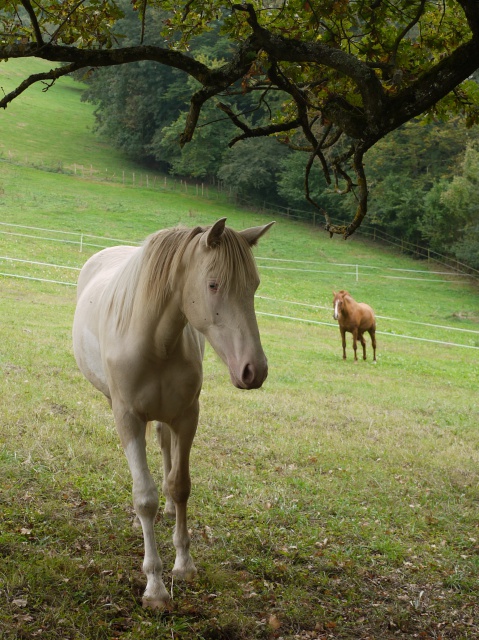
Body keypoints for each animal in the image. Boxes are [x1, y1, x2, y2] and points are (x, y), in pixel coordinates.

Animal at [71, 218, 274, 608]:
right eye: (213, 284)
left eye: (254, 286)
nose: (253, 370)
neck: (154, 341)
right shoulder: (128, 417)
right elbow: (144, 497)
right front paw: (155, 586)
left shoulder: (187, 416)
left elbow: (180, 486)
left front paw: (184, 564)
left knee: (165, 449)